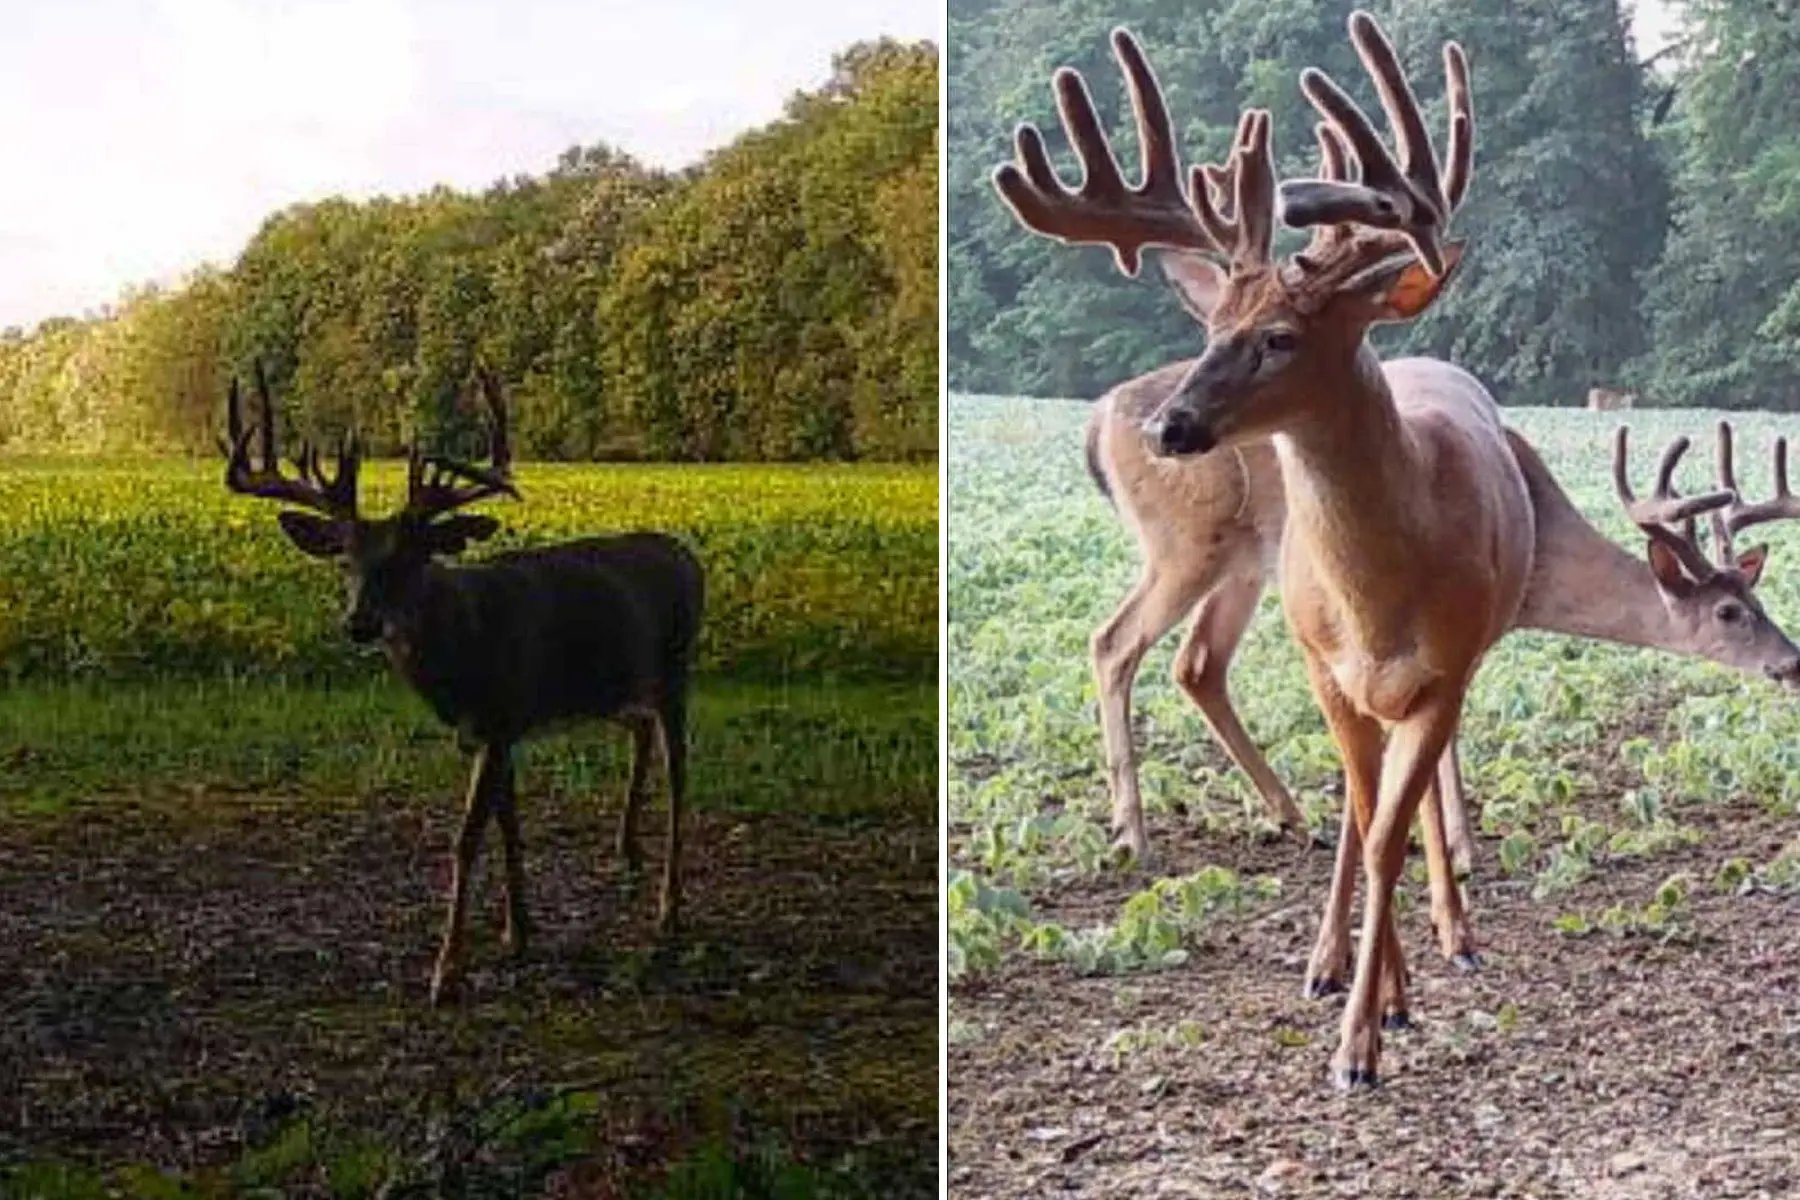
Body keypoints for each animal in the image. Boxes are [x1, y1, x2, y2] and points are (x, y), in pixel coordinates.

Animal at [219, 367, 702, 1007]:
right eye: (345, 560)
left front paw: (446, 971)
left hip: (676, 670)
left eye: (411, 560)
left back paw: (669, 910)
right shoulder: (497, 727)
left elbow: (467, 837)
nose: (359, 623)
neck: (464, 650)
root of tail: (688, 554)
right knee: (641, 733)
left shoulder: (500, 717)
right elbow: (507, 823)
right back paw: (627, 850)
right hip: (616, 688)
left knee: (680, 778)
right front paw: (518, 931)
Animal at [1000, 7, 1576, 1086]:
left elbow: (1392, 822)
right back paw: (1167, 841)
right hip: (1205, 555)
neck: (1385, 590)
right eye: (1215, 325)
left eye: (1279, 337)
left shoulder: (1444, 668)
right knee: (1131, 646)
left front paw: (1376, 1014)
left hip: (1236, 568)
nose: (1174, 426)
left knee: (1190, 664)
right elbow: (1374, 814)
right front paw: (1369, 1008)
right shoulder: (1332, 667)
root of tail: (1098, 420)